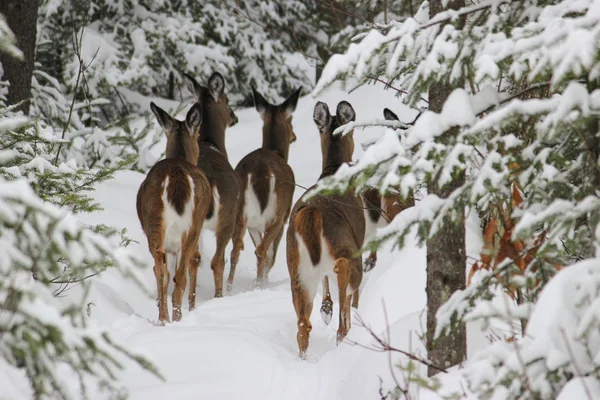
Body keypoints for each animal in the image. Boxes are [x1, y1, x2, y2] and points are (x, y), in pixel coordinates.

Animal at [137, 101, 212, 324]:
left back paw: (164, 319)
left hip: (154, 223)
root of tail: (176, 173)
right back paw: (176, 319)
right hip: (192, 226)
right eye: (197, 135)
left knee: (161, 270)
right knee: (180, 274)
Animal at [229, 86, 304, 290]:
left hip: (241, 214)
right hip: (277, 213)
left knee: (236, 249)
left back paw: (227, 288)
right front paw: (264, 280)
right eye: (291, 120)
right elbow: (272, 254)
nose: (294, 136)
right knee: (262, 250)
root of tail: (259, 170)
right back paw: (259, 285)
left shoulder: (253, 224)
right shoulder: (284, 217)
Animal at [288, 100, 366, 356]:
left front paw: (326, 308)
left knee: (303, 326)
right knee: (344, 272)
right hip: (344, 245)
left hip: (297, 269)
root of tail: (313, 212)